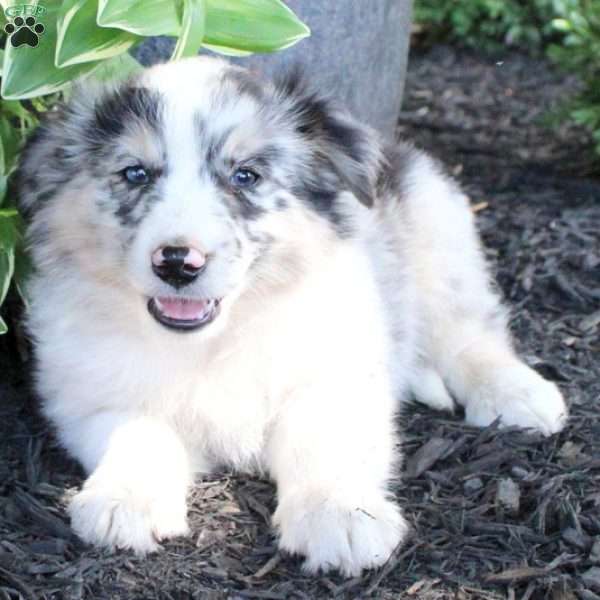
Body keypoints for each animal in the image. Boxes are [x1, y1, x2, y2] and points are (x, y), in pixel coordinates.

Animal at [15, 57, 568, 576]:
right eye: (135, 173)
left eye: (246, 176)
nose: (176, 262)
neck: (214, 341)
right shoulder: (90, 397)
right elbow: (139, 433)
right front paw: (123, 500)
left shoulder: (333, 375)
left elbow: (320, 441)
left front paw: (339, 515)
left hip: (438, 230)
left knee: (467, 331)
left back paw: (517, 394)